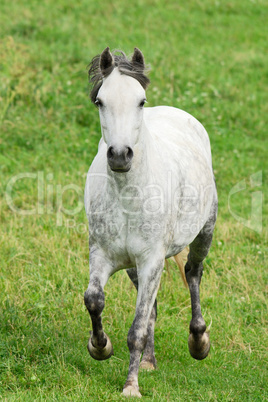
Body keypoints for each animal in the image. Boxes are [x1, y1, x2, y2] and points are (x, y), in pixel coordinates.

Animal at [84, 48, 218, 398]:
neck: (128, 197)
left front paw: (130, 387)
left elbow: (137, 328)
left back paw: (199, 342)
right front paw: (100, 347)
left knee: (193, 273)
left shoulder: (152, 261)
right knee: (153, 308)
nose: (120, 155)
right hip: (134, 266)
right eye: (100, 101)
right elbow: (94, 300)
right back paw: (148, 362)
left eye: (140, 101)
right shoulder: (103, 255)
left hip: (204, 233)